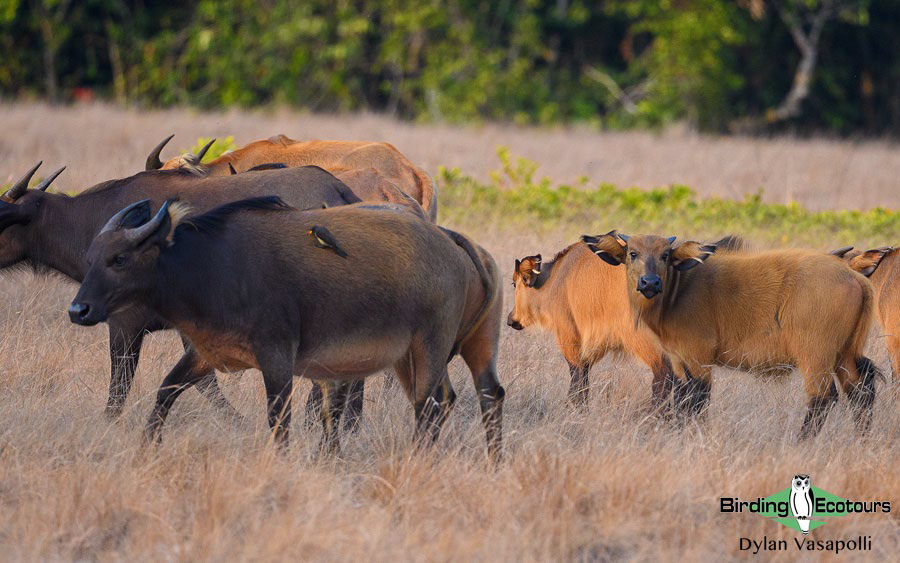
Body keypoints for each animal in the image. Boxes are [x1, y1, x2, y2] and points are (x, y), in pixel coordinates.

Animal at [68, 196, 506, 460]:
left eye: (120, 259)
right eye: (91, 258)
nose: (78, 309)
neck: (210, 266)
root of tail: (452, 241)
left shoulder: (277, 357)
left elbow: (279, 418)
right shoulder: (206, 354)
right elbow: (165, 392)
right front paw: (148, 445)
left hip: (428, 346)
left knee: (430, 405)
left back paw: (419, 458)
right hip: (450, 351)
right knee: (483, 394)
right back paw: (493, 462)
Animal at [580, 231, 884, 438]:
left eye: (665, 255)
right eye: (632, 253)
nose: (650, 283)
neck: (680, 289)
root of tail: (854, 276)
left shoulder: (699, 358)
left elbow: (697, 400)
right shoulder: (678, 360)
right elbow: (681, 399)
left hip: (815, 357)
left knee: (824, 397)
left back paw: (802, 442)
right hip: (845, 355)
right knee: (860, 391)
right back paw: (862, 439)